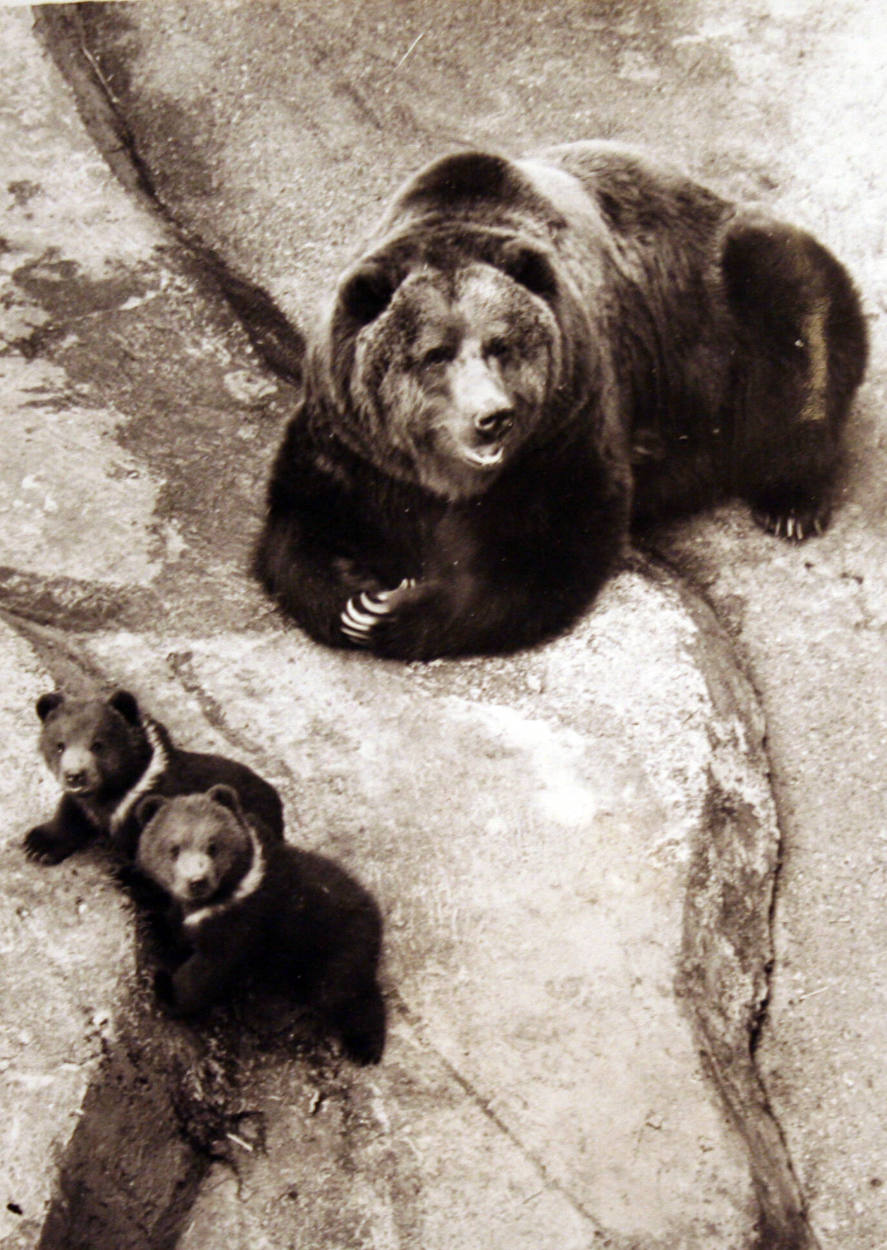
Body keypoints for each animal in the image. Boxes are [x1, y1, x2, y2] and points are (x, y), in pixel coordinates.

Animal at [252, 141, 869, 660]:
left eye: (500, 344)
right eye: (435, 353)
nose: (491, 418)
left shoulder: (565, 426)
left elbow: (547, 550)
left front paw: (394, 610)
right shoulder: (350, 440)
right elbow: (299, 523)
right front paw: (354, 598)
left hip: (726, 308)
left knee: (792, 301)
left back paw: (791, 502)